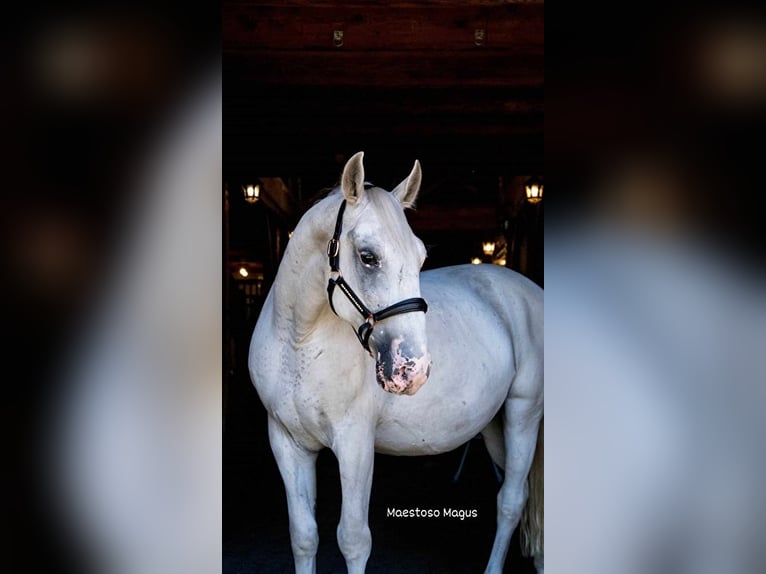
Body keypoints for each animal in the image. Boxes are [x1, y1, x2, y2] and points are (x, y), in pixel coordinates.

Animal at [249, 153, 544, 574]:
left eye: (421, 257)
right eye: (368, 257)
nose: (413, 368)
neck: (298, 343)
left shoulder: (355, 443)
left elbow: (354, 539)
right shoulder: (287, 443)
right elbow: (303, 536)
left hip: (524, 413)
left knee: (510, 501)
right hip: (494, 426)